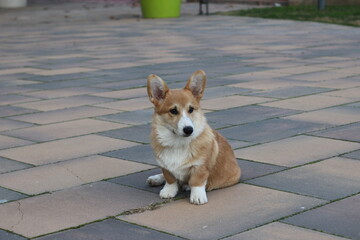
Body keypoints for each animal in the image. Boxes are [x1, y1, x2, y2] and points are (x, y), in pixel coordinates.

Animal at [145, 69, 240, 204]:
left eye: (191, 109)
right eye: (173, 111)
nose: (189, 129)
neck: (178, 142)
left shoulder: (200, 166)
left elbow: (196, 181)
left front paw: (197, 196)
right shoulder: (165, 165)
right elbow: (170, 179)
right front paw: (168, 191)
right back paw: (156, 179)